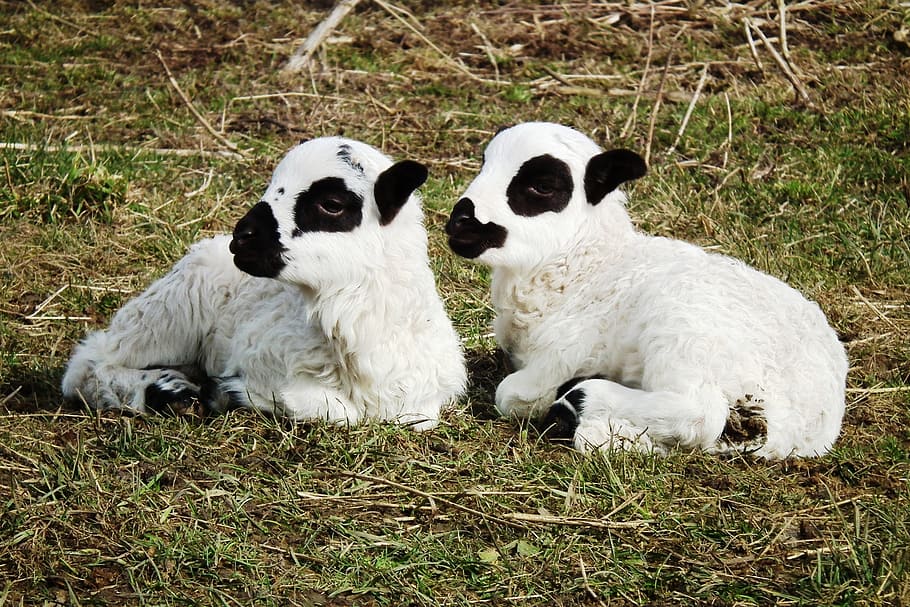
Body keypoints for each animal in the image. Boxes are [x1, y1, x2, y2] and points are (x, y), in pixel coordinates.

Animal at [62, 136, 467, 430]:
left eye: (332, 203)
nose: (242, 237)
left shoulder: (422, 407)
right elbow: (336, 410)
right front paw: (229, 390)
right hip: (167, 313)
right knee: (89, 364)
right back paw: (167, 390)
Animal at [445, 122, 847, 458]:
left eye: (543, 186)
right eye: (483, 164)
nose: (459, 221)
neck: (584, 269)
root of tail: (813, 414)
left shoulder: (559, 356)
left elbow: (510, 394)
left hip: (684, 333)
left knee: (700, 415)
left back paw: (583, 402)